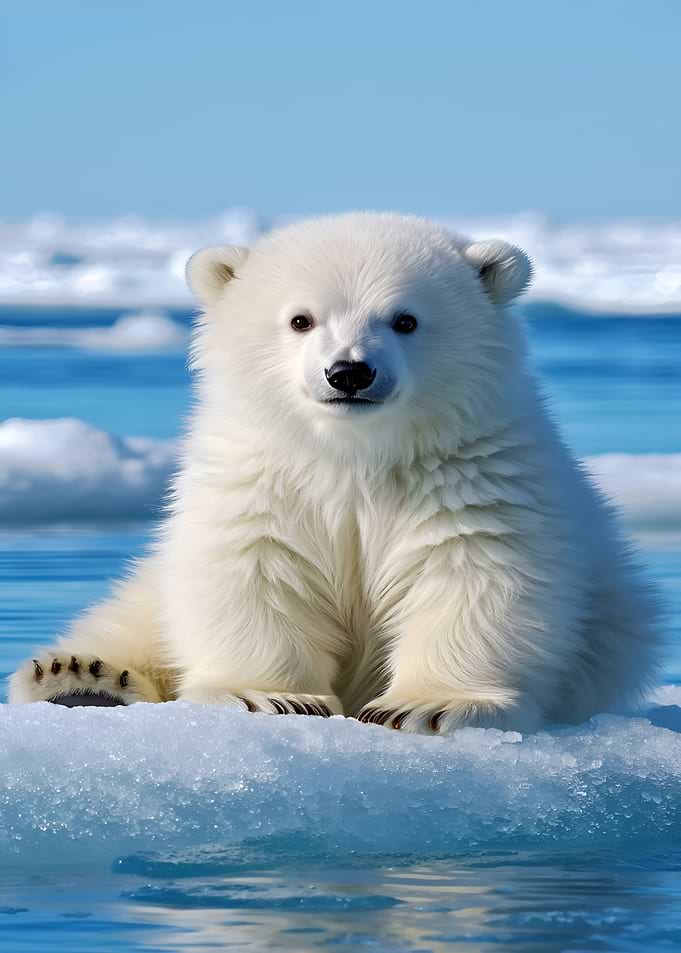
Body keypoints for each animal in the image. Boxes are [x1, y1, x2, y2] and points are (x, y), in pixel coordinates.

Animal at [8, 212, 660, 732]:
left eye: (405, 320)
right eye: (301, 320)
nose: (349, 372)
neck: (355, 458)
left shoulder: (473, 477)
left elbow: (474, 575)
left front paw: (431, 704)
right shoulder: (265, 482)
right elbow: (253, 570)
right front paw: (271, 696)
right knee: (133, 614)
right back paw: (80, 677)